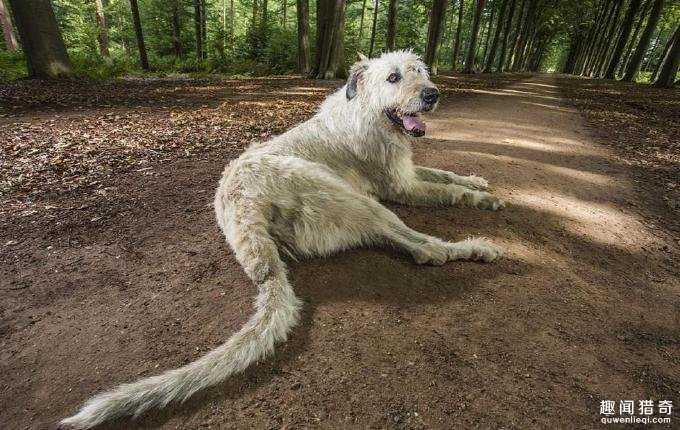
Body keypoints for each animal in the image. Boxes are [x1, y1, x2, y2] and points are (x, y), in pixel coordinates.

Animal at [59, 51, 504, 430]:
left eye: (419, 71)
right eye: (393, 77)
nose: (432, 94)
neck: (366, 111)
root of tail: (244, 213)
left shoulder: (408, 172)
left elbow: (444, 174)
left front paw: (476, 180)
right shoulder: (400, 186)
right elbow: (447, 190)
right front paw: (485, 198)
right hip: (353, 197)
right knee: (425, 248)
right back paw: (478, 247)